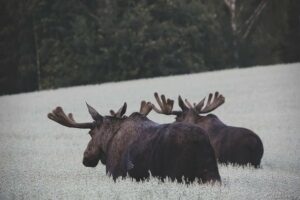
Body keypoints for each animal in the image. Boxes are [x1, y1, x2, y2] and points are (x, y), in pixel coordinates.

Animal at [47, 101, 220, 184]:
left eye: (90, 133)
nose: (86, 157)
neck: (108, 143)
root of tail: (200, 142)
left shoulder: (116, 174)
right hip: (211, 174)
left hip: (176, 175)